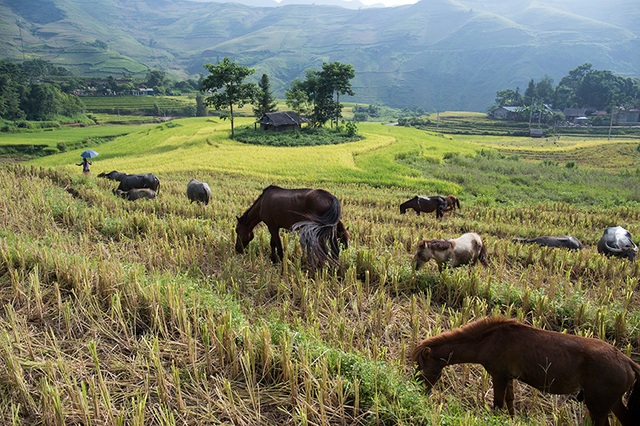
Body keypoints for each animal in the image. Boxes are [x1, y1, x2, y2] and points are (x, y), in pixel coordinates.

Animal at [412, 316, 640, 426]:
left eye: (420, 366)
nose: (419, 391)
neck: (490, 339)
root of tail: (627, 361)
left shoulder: (499, 376)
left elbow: (497, 404)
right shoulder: (509, 377)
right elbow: (510, 403)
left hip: (598, 406)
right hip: (611, 402)